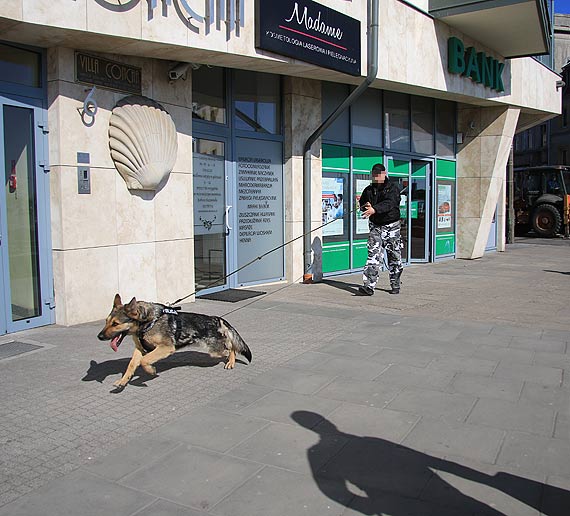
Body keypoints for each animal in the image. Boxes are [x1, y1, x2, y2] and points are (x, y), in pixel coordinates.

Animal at [97, 294, 251, 388]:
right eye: (106, 322)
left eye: (115, 324)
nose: (99, 337)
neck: (147, 321)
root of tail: (217, 319)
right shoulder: (140, 349)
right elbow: (131, 365)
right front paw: (123, 381)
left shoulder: (166, 348)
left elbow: (144, 361)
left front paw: (151, 371)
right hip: (215, 350)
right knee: (230, 346)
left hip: (215, 351)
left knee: (231, 348)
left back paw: (231, 362)